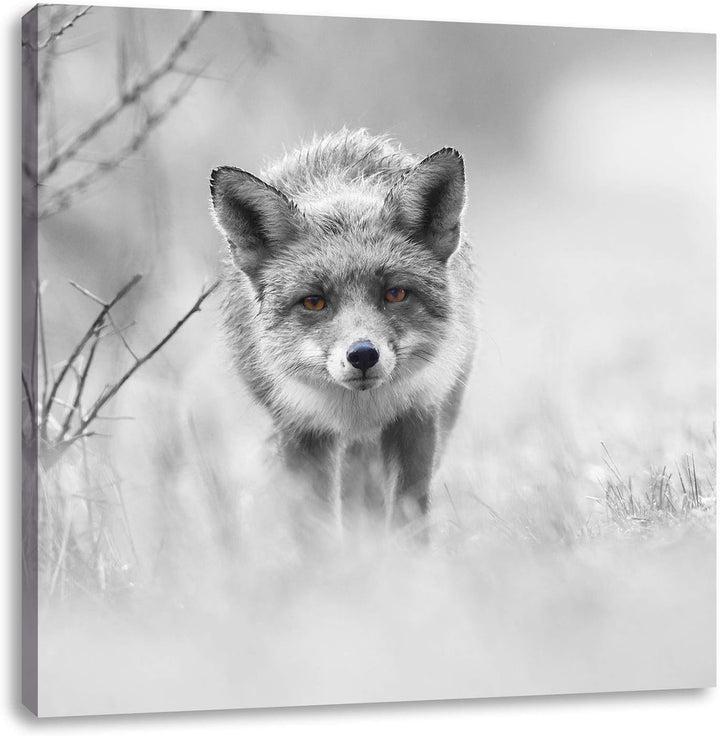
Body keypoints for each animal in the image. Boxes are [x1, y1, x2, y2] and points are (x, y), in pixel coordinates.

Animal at [209, 129, 475, 535]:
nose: (363, 354)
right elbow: (315, 529)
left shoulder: (416, 417)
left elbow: (407, 519)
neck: (359, 411)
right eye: (314, 301)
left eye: (395, 293)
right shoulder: (300, 430)